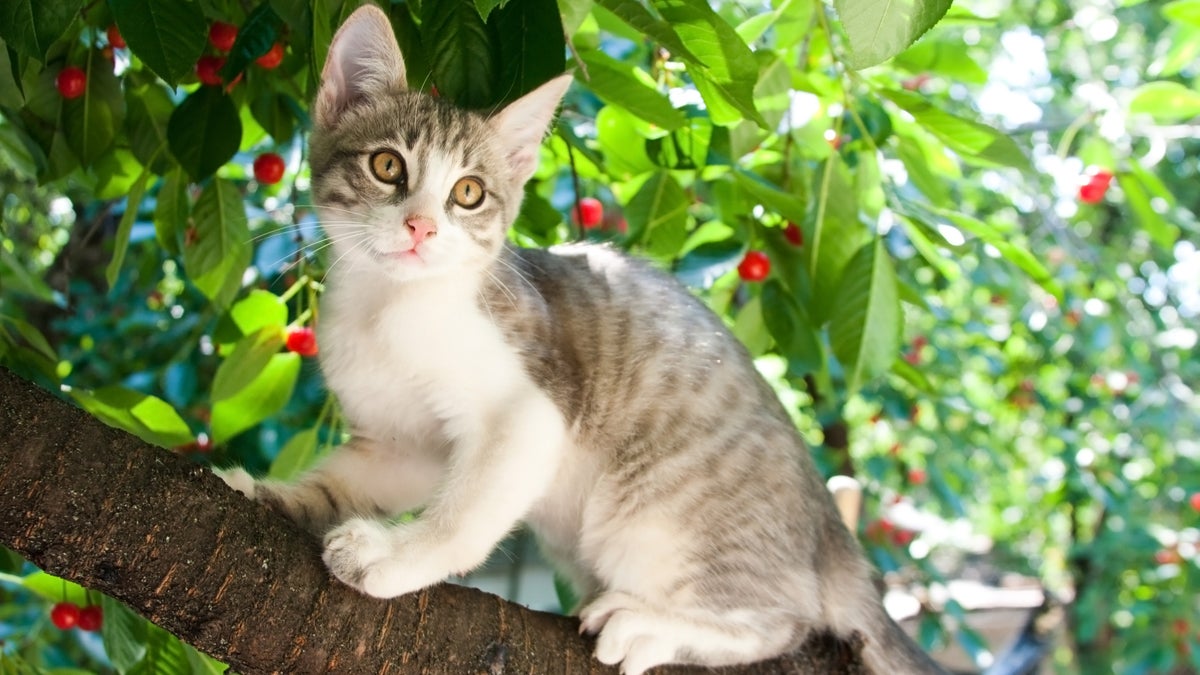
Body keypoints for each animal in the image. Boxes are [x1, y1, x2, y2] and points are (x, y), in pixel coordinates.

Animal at [218, 6, 945, 672]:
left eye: (469, 193)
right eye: (387, 165)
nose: (422, 226)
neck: (387, 310)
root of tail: (828, 527)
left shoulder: (531, 412)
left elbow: (465, 515)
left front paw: (397, 553)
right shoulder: (402, 444)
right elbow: (352, 478)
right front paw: (264, 492)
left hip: (647, 516)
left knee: (785, 620)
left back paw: (654, 624)